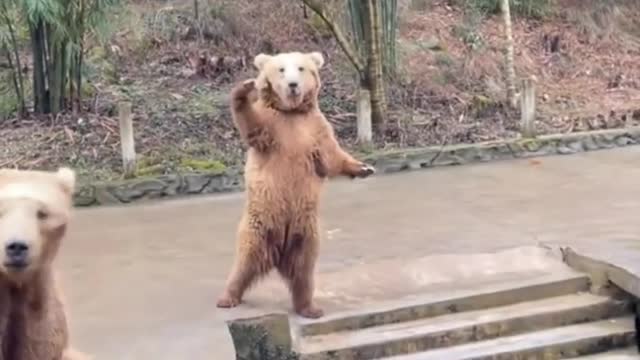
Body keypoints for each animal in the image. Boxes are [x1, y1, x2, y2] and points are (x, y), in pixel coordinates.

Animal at [218, 51, 376, 318]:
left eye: (301, 68)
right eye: (281, 69)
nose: (293, 85)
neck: (291, 112)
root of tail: (277, 254)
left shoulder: (315, 129)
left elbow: (332, 157)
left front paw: (364, 168)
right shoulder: (272, 127)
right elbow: (252, 125)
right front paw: (244, 88)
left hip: (305, 231)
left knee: (303, 270)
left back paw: (309, 307)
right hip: (260, 224)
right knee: (245, 261)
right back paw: (227, 297)